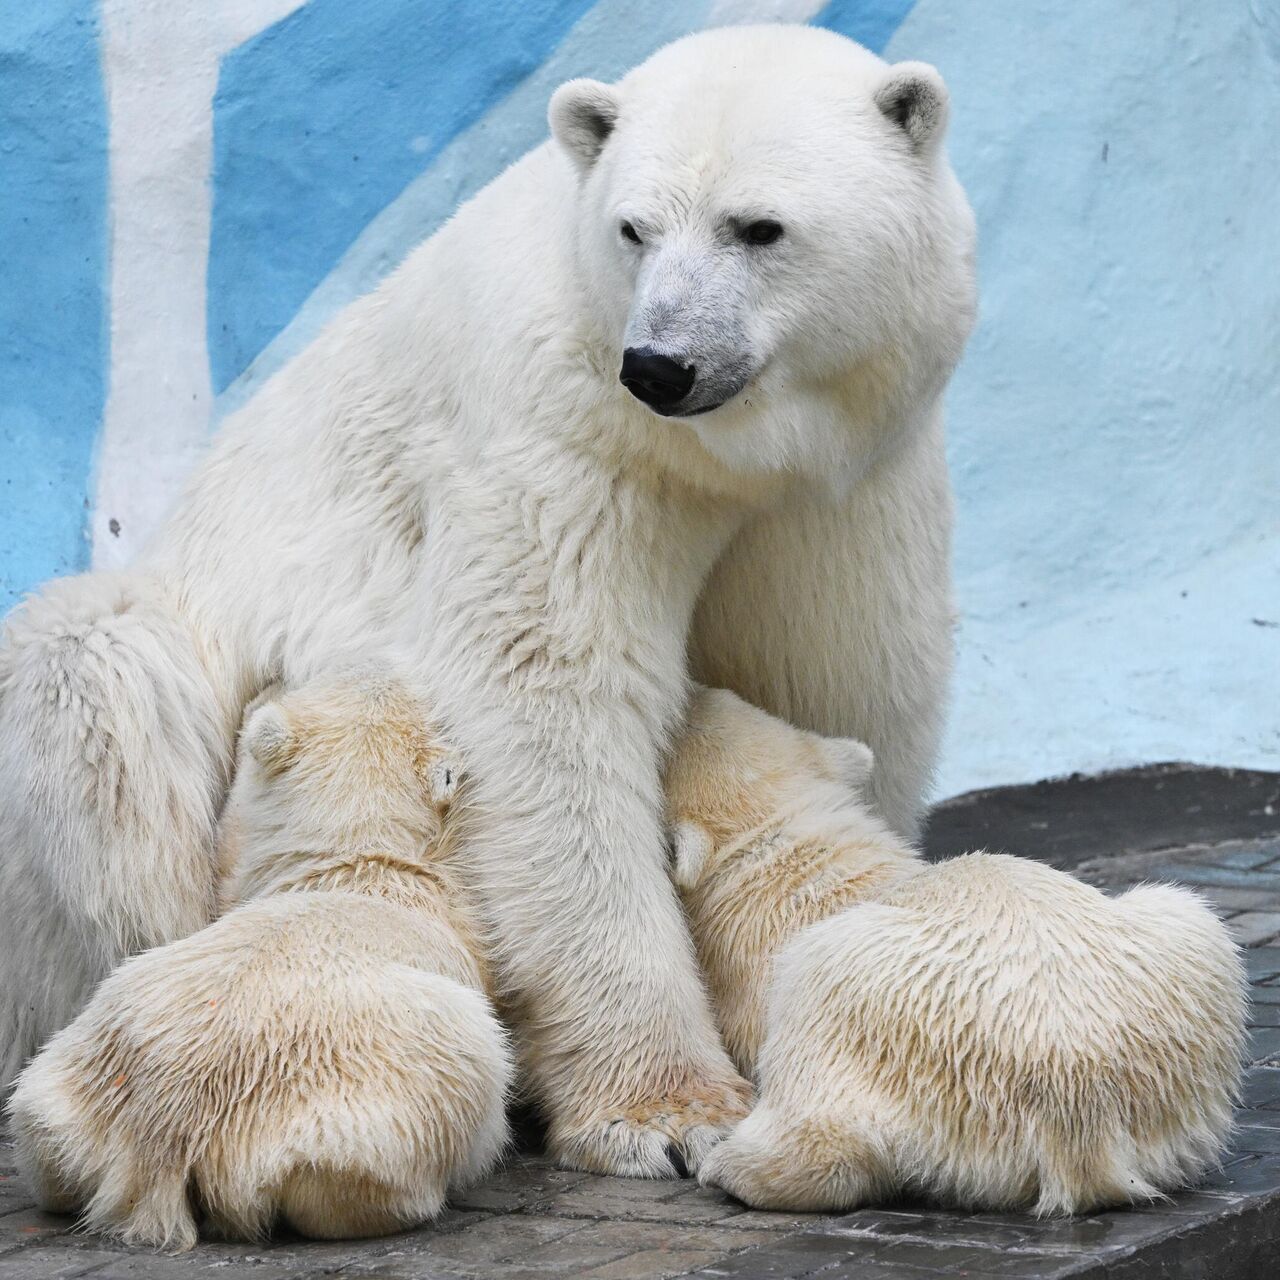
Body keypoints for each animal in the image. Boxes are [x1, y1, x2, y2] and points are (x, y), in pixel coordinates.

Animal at [0, 22, 967, 1177]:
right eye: (635, 229)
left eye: (759, 226)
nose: (661, 364)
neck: (716, 457)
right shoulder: (560, 433)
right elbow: (544, 696)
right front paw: (665, 1107)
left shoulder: (843, 481)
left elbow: (830, 674)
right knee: (97, 683)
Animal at [10, 680, 512, 1249]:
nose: (392, 678)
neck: (353, 863)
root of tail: (172, 1122)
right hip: (360, 1101)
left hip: (77, 1086)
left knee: (44, 1135)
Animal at [665, 696, 1244, 1213]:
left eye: (684, 719)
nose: (691, 688)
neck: (801, 864)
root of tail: (1078, 1102)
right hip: (1181, 997)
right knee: (1187, 910)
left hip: (871, 1004)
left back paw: (730, 1164)